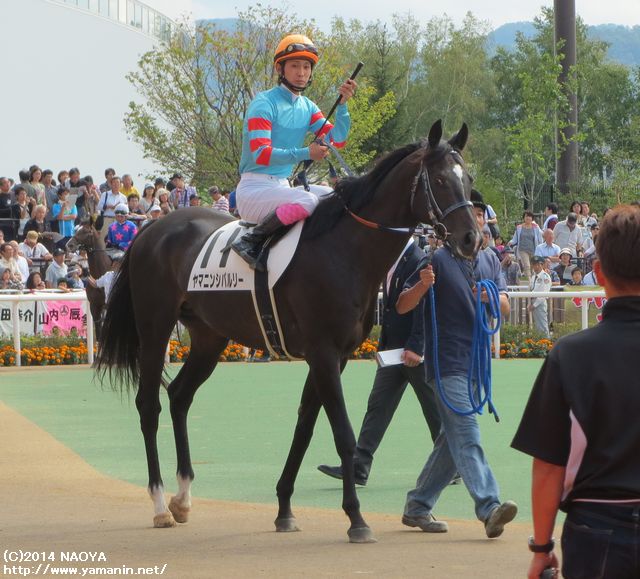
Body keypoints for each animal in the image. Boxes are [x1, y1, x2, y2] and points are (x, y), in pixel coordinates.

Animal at [95, 120, 481, 543]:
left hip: (210, 336)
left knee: (180, 396)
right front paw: (356, 519)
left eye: (468, 179)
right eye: (441, 180)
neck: (345, 249)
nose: (471, 239)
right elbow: (342, 433)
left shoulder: (335, 356)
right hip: (155, 326)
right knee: (149, 405)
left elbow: (305, 426)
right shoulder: (323, 352)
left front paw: (284, 510)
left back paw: (183, 498)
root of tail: (150, 231)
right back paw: (161, 504)